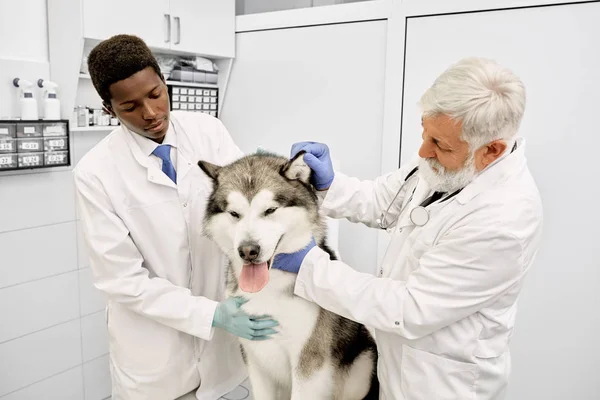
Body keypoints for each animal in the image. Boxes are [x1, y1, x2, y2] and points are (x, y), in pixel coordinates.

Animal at [197, 152, 378, 398]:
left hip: (363, 364)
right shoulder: (254, 357)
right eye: (234, 214)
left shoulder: (309, 364)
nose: (248, 251)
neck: (268, 287)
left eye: (270, 210)